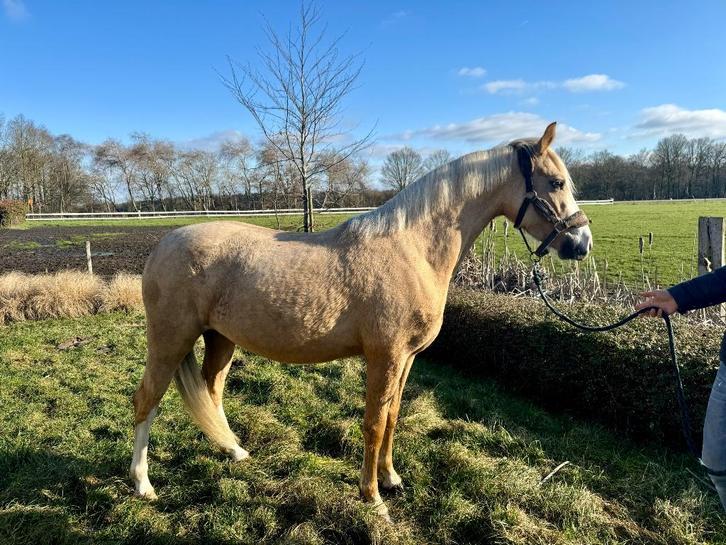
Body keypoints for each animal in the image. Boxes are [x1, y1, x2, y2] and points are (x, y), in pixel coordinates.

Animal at [129, 122, 592, 520]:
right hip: (170, 341)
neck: (412, 249)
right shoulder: (384, 357)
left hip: (220, 339)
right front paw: (372, 499)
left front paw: (390, 478)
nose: (581, 243)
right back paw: (143, 485)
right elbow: (373, 423)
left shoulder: (406, 359)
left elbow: (393, 416)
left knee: (211, 391)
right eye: (556, 183)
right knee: (146, 400)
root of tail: (163, 245)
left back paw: (233, 452)